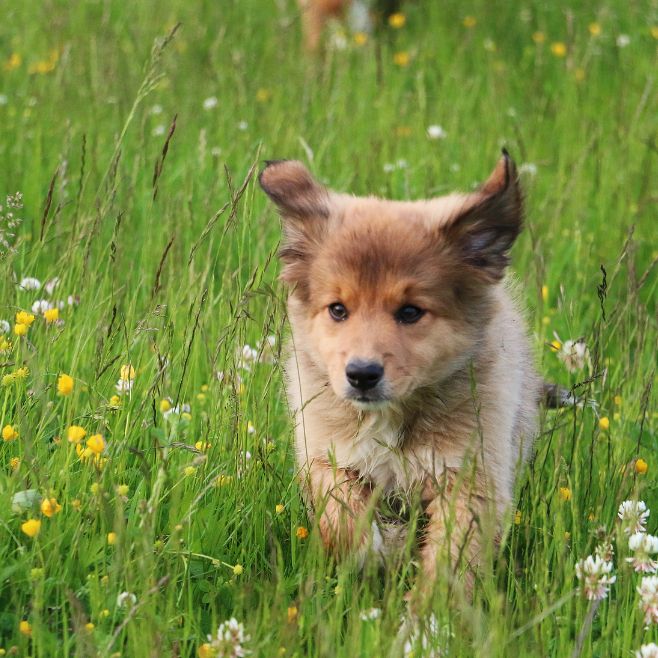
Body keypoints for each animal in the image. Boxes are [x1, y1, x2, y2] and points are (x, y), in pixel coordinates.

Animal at [258, 152, 540, 588]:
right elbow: (343, 520)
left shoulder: (472, 478)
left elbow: (450, 563)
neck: (391, 421)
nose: (361, 374)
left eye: (410, 312)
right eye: (338, 309)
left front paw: (430, 606)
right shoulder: (324, 455)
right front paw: (379, 551)